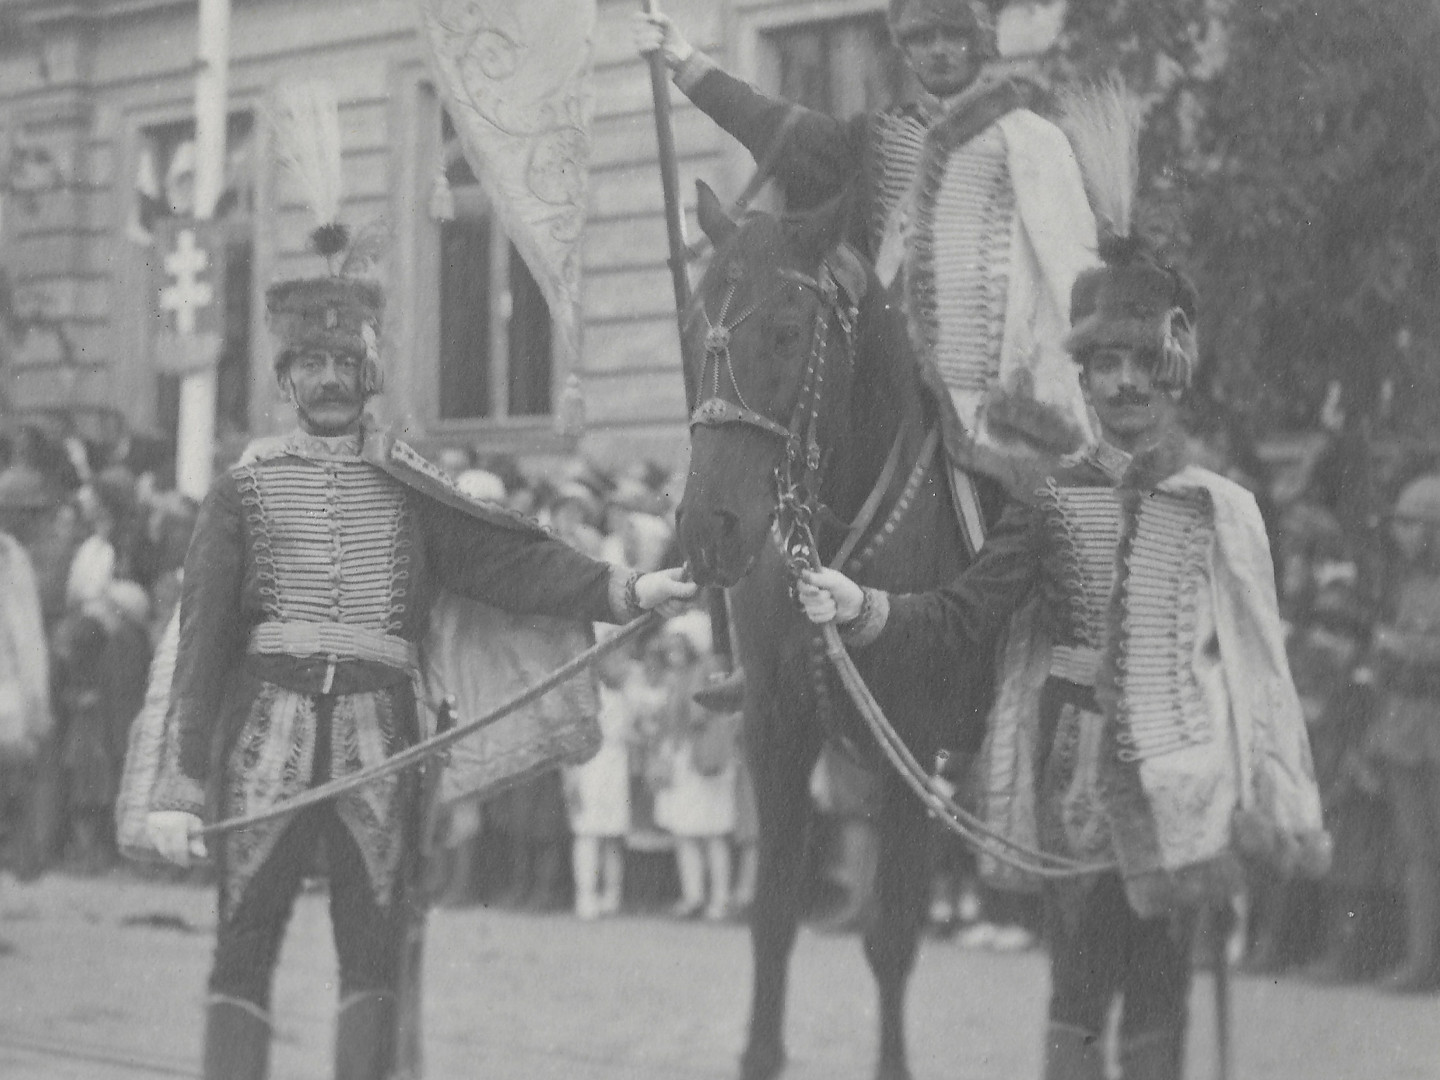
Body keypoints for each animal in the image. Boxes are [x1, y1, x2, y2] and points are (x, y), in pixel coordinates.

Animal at [671, 182, 990, 1080]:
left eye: (787, 331)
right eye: (694, 322)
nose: (708, 529)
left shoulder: (913, 747)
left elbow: (890, 938)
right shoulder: (778, 732)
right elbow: (772, 920)